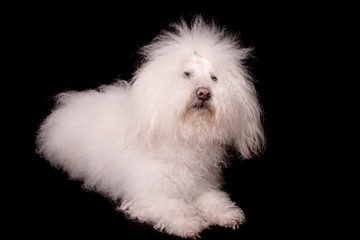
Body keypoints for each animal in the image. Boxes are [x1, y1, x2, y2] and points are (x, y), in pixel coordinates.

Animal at [36, 16, 266, 238]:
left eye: (214, 78)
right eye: (186, 74)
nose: (204, 92)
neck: (185, 137)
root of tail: (71, 101)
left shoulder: (202, 186)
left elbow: (214, 199)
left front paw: (227, 214)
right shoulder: (149, 195)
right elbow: (173, 207)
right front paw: (189, 224)